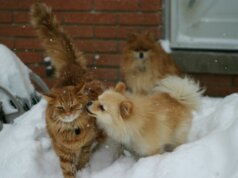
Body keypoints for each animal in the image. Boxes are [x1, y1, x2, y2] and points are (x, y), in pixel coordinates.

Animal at [30, 2, 104, 178]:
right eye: (60, 108)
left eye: (73, 105)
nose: (68, 113)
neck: (72, 132)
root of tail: (71, 66)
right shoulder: (63, 152)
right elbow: (69, 169)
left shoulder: (86, 144)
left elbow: (84, 156)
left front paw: (83, 168)